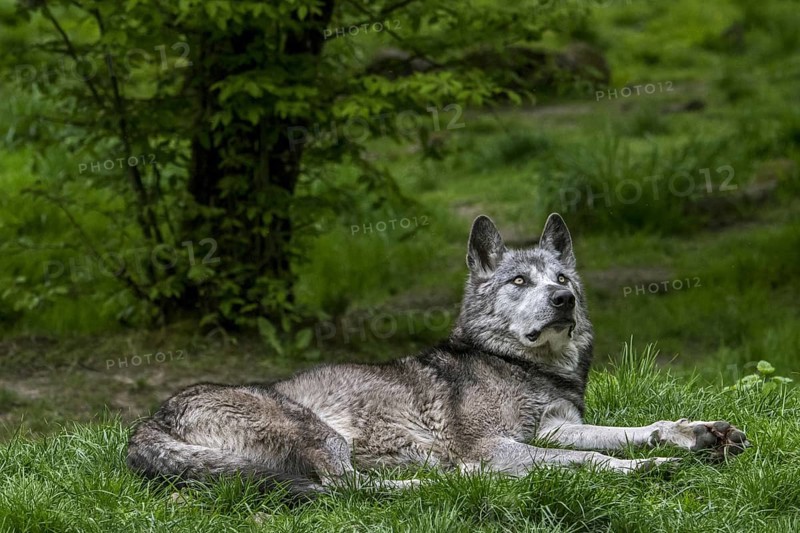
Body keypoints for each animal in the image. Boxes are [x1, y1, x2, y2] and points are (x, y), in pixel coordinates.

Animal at [127, 214, 748, 496]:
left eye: (562, 278)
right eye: (519, 281)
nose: (564, 300)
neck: (523, 367)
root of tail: (144, 424)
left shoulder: (554, 428)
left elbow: (635, 430)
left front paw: (698, 435)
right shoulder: (499, 445)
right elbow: (594, 460)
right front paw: (652, 467)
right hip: (317, 431)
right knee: (346, 488)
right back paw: (456, 483)